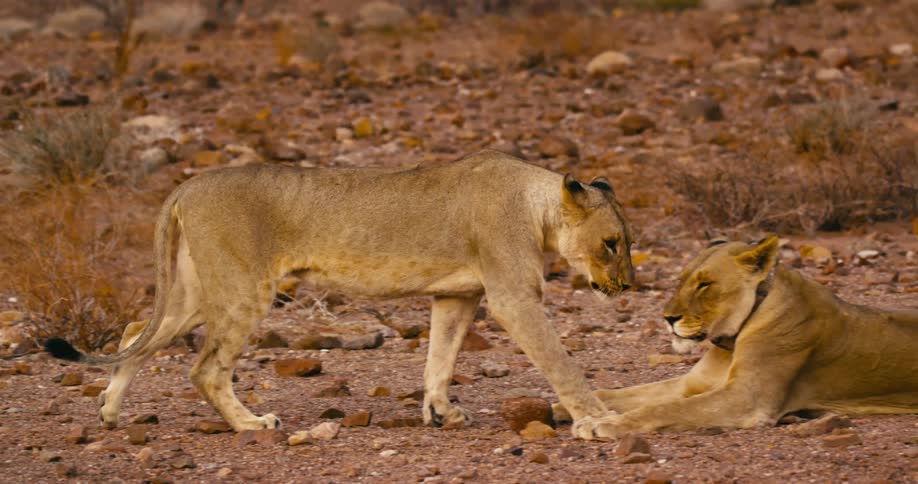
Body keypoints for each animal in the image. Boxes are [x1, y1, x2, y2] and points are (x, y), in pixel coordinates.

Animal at [45, 149, 635, 436]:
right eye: (611, 243)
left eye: (628, 244)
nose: (628, 284)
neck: (536, 205)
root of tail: (188, 183)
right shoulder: (513, 296)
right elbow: (561, 363)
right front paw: (599, 420)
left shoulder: (457, 296)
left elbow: (440, 359)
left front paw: (440, 413)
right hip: (243, 289)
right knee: (206, 368)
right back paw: (251, 424)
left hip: (195, 291)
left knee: (134, 334)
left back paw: (109, 413)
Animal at [568, 235, 918, 440]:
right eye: (681, 280)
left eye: (705, 284)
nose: (667, 318)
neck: (730, 342)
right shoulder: (690, 384)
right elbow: (615, 393)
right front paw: (569, 408)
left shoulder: (747, 398)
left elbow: (664, 409)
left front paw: (604, 424)